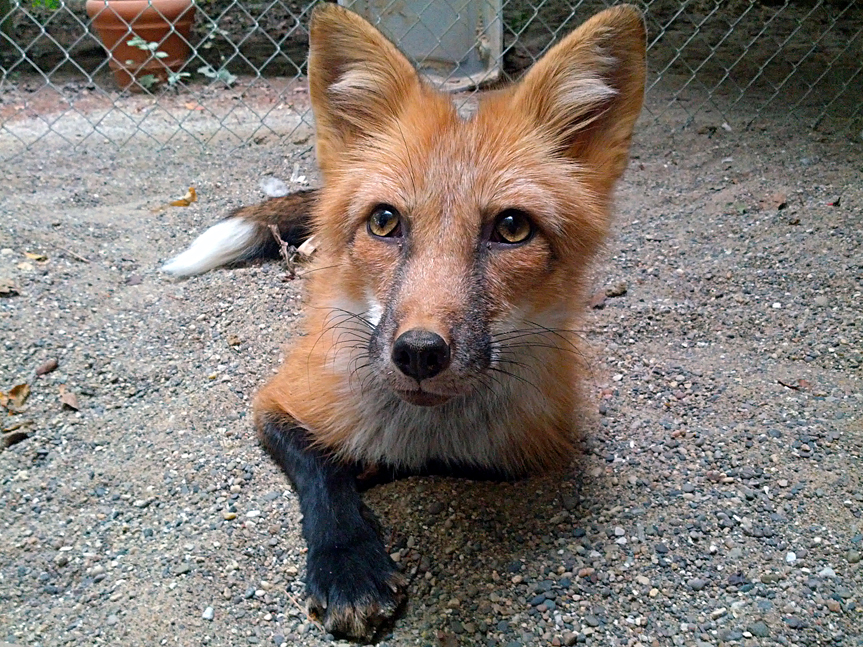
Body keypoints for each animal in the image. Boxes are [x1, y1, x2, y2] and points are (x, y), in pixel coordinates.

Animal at [164, 2, 648, 640]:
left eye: (512, 228)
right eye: (384, 221)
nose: (419, 351)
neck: (427, 427)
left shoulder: (533, 447)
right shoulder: (279, 399)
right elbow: (324, 475)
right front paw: (347, 562)